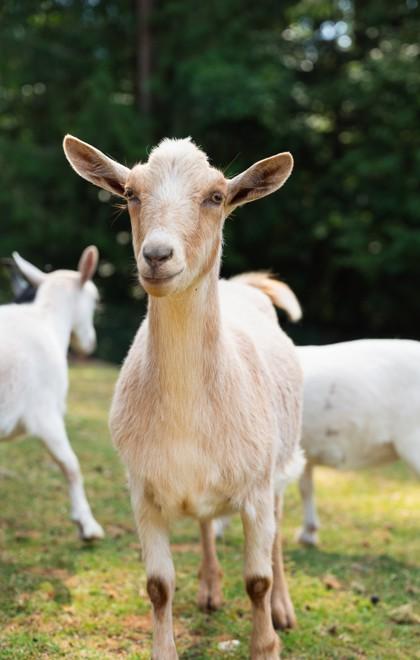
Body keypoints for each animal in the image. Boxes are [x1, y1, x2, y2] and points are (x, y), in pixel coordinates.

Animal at [0, 247, 104, 541]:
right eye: (95, 300)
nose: (90, 343)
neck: (46, 319)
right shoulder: (45, 414)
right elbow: (71, 465)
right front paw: (88, 526)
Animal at [63, 135, 304, 659]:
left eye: (216, 196)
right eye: (130, 193)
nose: (157, 255)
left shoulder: (256, 485)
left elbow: (256, 580)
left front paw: (266, 642)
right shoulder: (143, 490)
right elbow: (158, 586)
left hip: (282, 458)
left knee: (277, 533)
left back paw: (283, 608)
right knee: (205, 523)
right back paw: (210, 589)